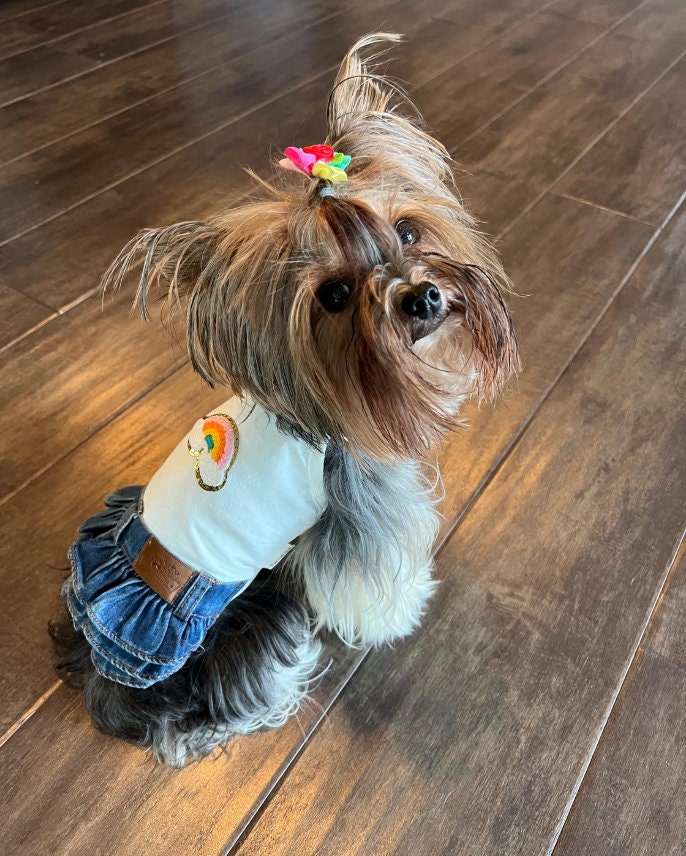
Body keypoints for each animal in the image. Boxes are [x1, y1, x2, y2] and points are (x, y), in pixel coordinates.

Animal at [51, 35, 520, 768]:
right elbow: (368, 581)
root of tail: (105, 684)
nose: (422, 297)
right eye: (334, 295)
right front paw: (404, 609)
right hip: (257, 613)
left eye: (407, 231)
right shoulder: (354, 517)